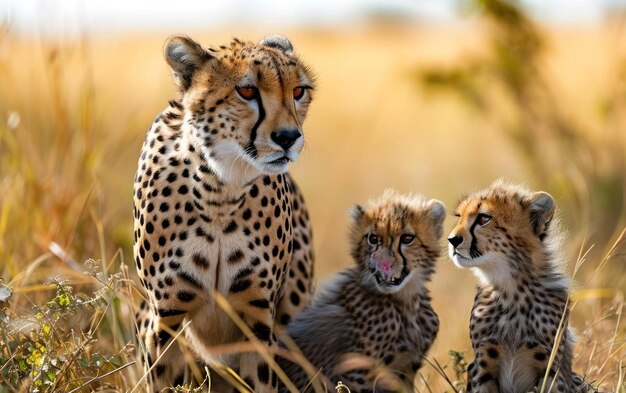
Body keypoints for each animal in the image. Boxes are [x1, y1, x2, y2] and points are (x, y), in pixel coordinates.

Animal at [132, 35, 316, 390]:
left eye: (298, 91)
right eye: (247, 91)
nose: (288, 138)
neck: (220, 190)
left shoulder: (259, 322)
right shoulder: (165, 319)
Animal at [278, 189, 444, 388]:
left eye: (407, 238)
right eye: (373, 238)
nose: (384, 263)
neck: (405, 302)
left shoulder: (407, 369)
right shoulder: (357, 372)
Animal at [446, 181, 584, 392]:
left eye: (484, 218)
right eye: (458, 217)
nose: (452, 240)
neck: (510, 287)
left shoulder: (551, 371)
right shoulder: (482, 368)